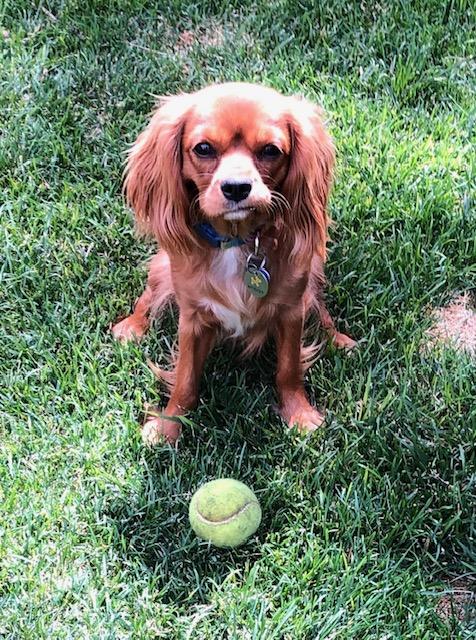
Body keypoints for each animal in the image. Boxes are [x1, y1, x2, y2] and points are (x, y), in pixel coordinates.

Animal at [112, 82, 355, 445]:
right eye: (203, 148)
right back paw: (132, 326)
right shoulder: (192, 318)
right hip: (163, 267)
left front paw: (299, 413)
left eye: (271, 150)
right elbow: (185, 379)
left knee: (320, 308)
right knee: (149, 294)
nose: (237, 187)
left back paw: (338, 339)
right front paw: (169, 424)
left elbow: (288, 368)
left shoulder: (291, 309)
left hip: (312, 273)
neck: (238, 242)